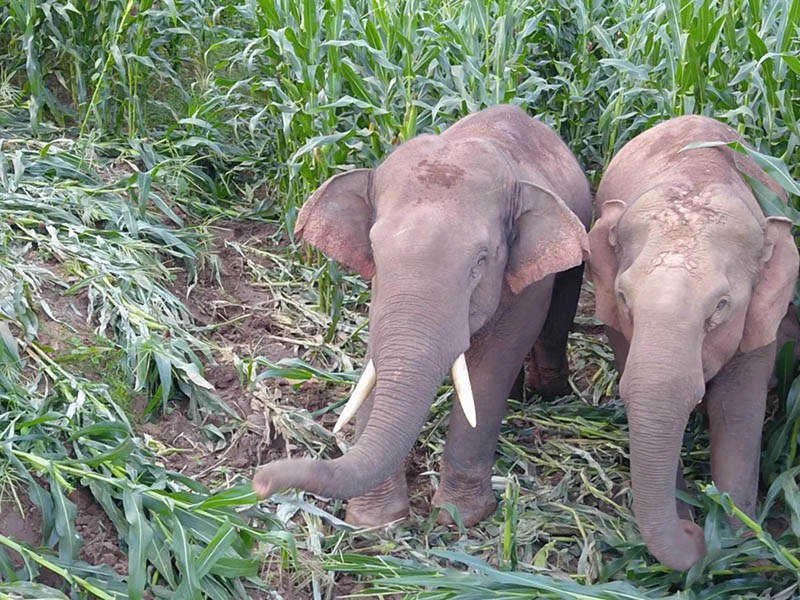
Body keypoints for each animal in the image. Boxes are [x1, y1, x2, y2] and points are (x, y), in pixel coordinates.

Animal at [252, 105, 592, 528]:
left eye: (481, 261)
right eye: (375, 250)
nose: (260, 483)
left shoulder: (526, 288)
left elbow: (489, 372)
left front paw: (459, 517)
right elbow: (377, 363)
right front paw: (378, 522)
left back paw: (549, 393)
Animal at [588, 113, 800, 572]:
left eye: (720, 306)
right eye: (624, 297)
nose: (697, 533)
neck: (695, 175)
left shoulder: (759, 319)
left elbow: (735, 410)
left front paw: (741, 542)